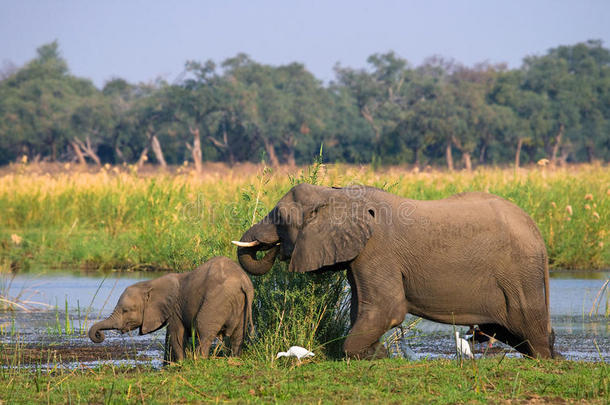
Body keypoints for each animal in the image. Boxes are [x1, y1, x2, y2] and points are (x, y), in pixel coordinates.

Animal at [88, 256, 254, 360]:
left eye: (126, 310)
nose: (99, 335)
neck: (149, 284)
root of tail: (243, 281)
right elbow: (169, 336)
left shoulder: (174, 308)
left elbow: (176, 335)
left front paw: (180, 364)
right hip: (243, 305)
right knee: (238, 334)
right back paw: (234, 359)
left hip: (216, 301)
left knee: (203, 330)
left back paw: (198, 360)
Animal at [233, 183, 556, 356]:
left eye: (279, 217)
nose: (274, 247)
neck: (337, 193)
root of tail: (537, 231)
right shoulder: (361, 254)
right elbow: (362, 306)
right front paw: (377, 354)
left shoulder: (377, 250)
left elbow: (386, 307)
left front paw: (371, 355)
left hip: (519, 273)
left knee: (529, 325)